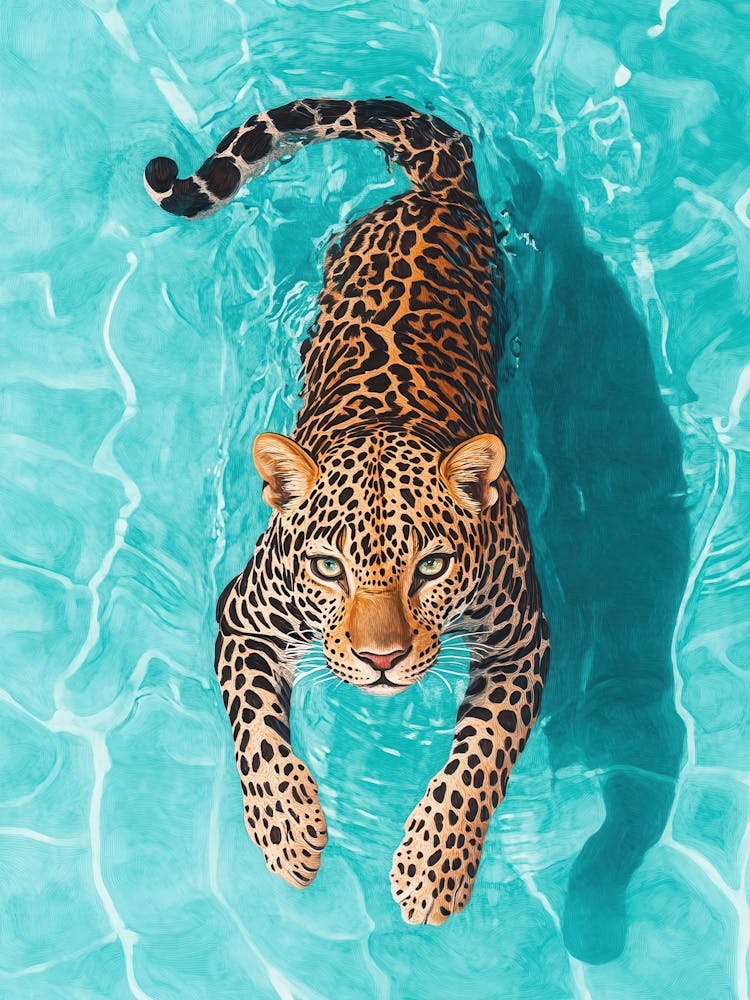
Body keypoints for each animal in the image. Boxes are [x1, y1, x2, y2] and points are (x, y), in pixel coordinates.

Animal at [144, 98, 550, 925]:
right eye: (329, 568)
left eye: (432, 566)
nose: (381, 661)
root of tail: (438, 190)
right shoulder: (241, 619)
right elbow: (255, 731)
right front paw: (287, 830)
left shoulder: (523, 641)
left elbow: (483, 753)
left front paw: (433, 869)